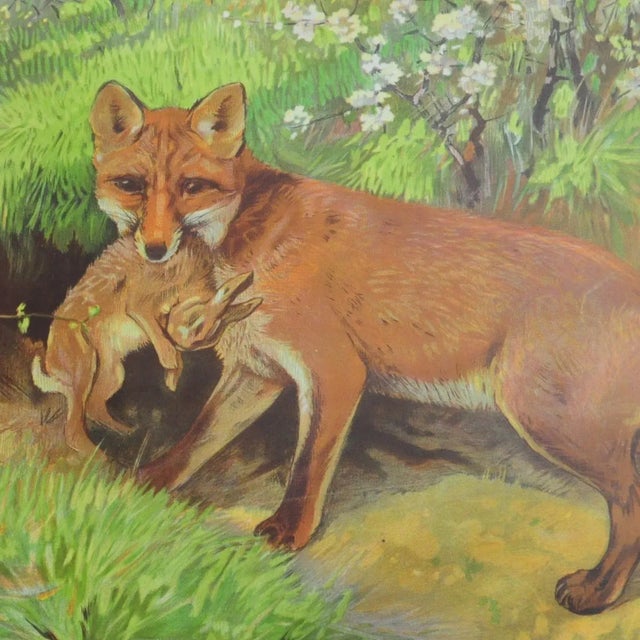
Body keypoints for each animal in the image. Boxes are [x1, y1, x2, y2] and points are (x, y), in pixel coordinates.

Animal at [32, 233, 260, 455]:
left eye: (208, 338)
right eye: (195, 321)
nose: (184, 343)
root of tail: (51, 363)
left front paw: (172, 378)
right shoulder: (142, 301)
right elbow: (151, 325)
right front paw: (171, 364)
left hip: (113, 372)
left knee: (94, 407)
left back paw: (125, 431)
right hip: (83, 366)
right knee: (73, 429)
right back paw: (100, 457)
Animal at [87, 79, 640, 615]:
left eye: (191, 187)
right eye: (131, 185)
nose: (155, 248)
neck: (249, 245)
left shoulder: (335, 372)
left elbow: (308, 466)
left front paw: (289, 530)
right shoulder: (258, 371)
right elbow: (197, 439)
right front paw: (144, 481)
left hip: (550, 420)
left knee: (630, 500)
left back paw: (598, 592)